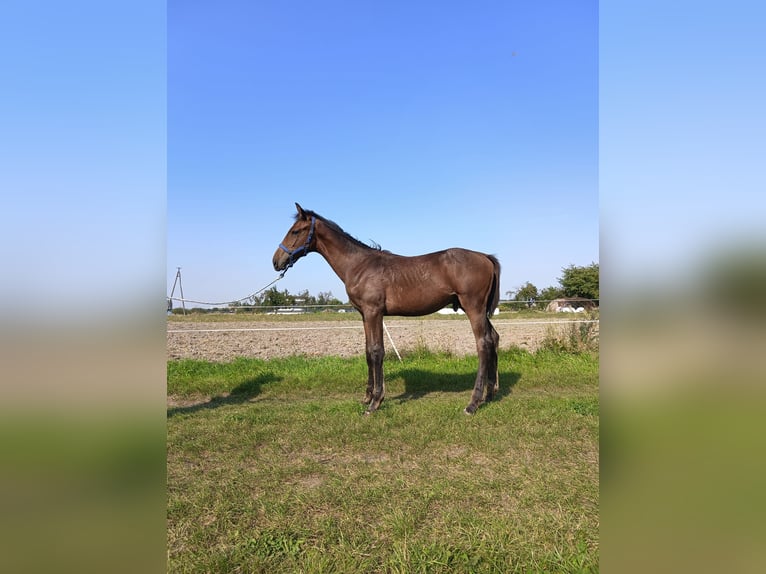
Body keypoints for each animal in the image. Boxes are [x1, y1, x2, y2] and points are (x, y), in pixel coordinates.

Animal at [272, 205, 500, 416]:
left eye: (295, 231)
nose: (276, 261)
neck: (359, 265)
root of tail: (485, 257)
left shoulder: (374, 312)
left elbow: (376, 351)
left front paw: (375, 402)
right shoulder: (364, 315)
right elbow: (367, 351)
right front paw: (367, 397)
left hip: (473, 308)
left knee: (483, 344)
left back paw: (473, 403)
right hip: (478, 310)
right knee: (493, 338)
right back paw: (490, 393)